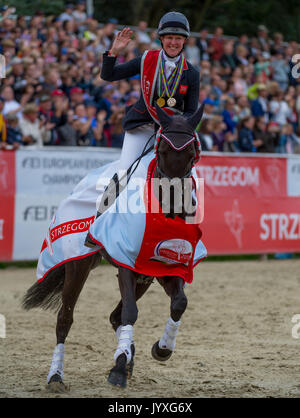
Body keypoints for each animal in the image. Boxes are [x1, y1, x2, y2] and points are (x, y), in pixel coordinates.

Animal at [22, 103, 205, 390]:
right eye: (162, 152)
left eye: (191, 154)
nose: (175, 206)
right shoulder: (126, 263)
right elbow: (131, 312)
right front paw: (119, 368)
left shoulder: (166, 266)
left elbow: (179, 303)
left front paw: (161, 349)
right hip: (78, 265)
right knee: (65, 319)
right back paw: (56, 376)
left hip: (144, 278)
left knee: (113, 317)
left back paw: (127, 357)